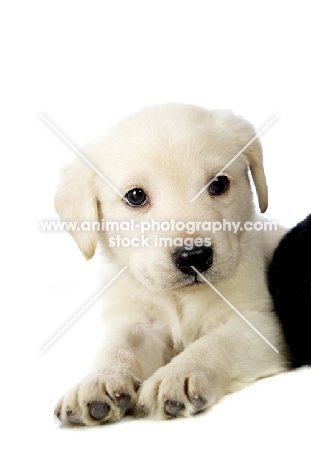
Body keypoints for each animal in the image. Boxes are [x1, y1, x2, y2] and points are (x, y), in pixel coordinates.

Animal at [53, 102, 288, 424]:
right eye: (135, 196)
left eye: (219, 183)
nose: (194, 256)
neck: (179, 298)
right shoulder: (135, 321)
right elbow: (117, 348)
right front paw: (98, 380)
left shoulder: (260, 323)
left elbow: (215, 344)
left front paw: (179, 374)